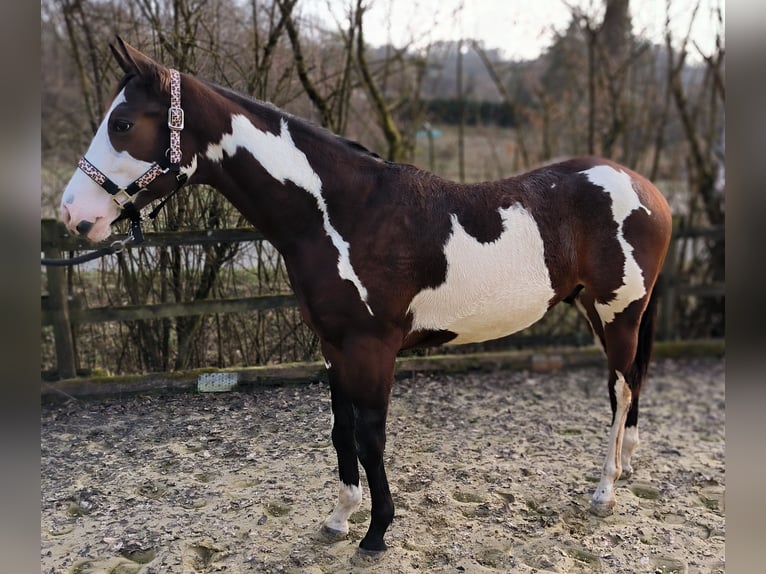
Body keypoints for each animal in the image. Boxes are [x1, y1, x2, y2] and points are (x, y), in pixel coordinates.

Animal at [59, 37, 672, 554]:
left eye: (123, 122)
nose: (73, 215)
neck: (342, 212)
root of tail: (648, 190)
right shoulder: (335, 346)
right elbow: (340, 429)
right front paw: (340, 517)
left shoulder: (372, 348)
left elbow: (370, 435)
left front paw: (376, 532)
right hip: (596, 309)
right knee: (628, 386)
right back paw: (627, 466)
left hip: (619, 313)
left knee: (620, 389)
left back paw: (605, 491)